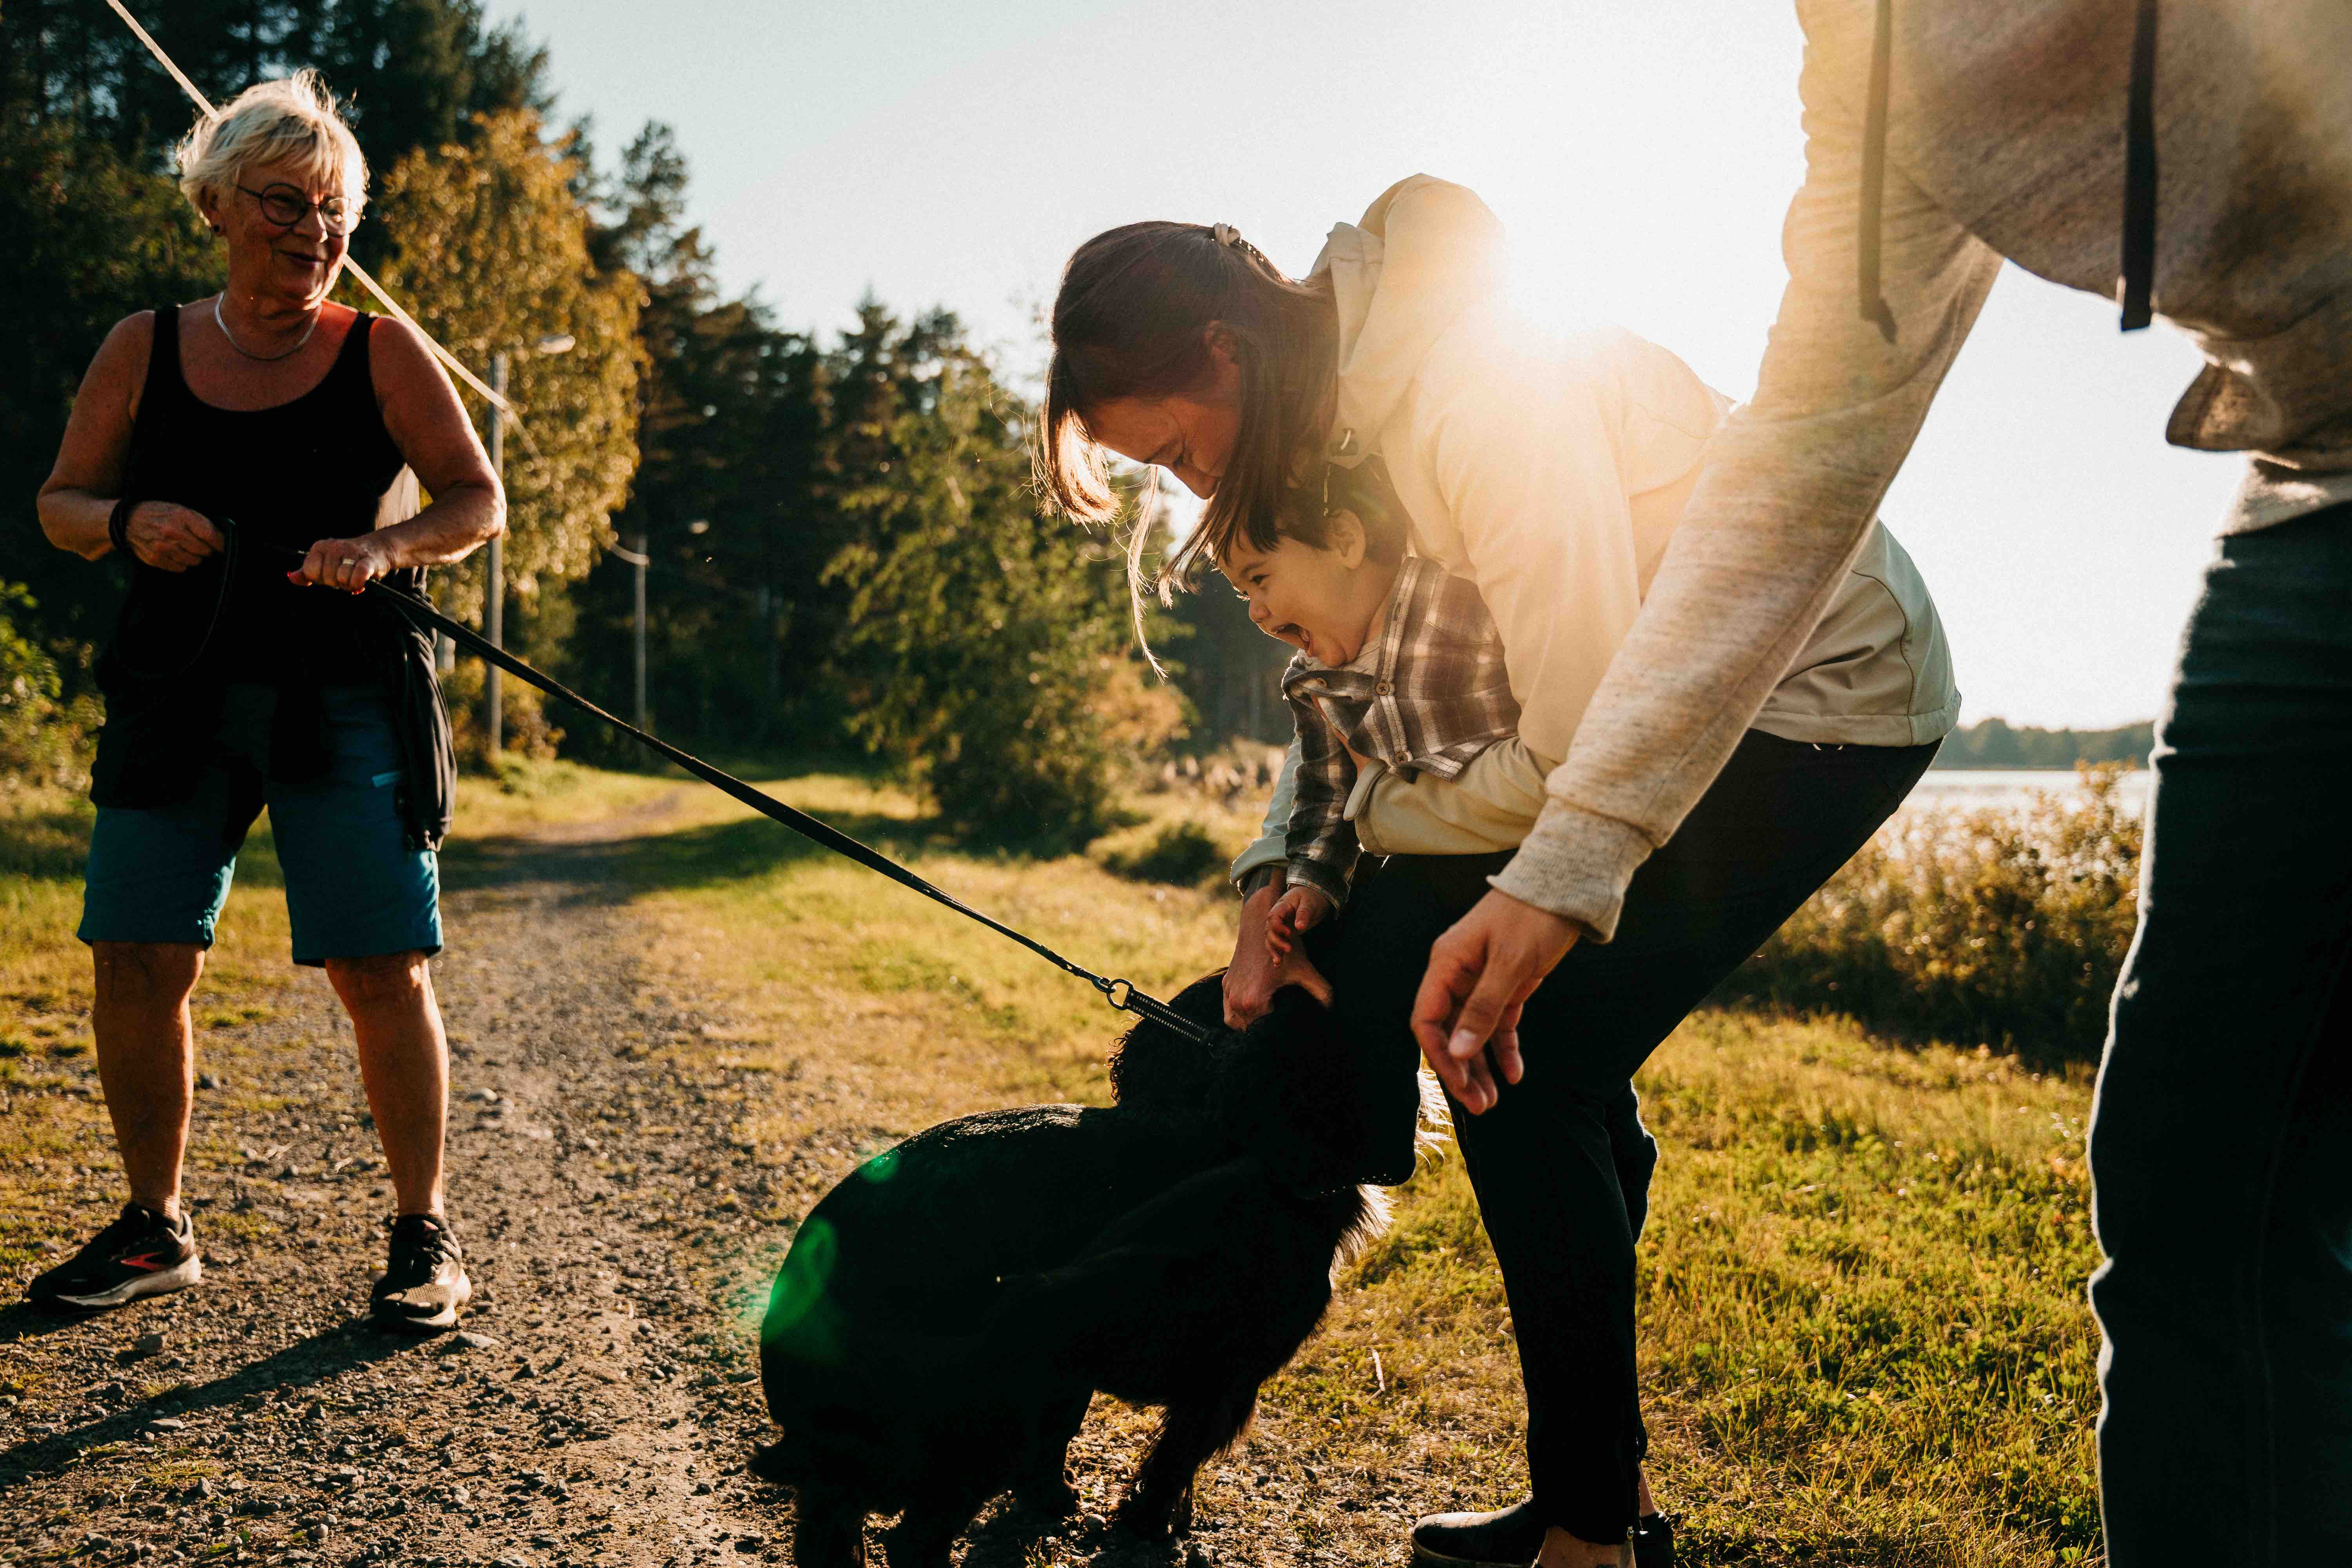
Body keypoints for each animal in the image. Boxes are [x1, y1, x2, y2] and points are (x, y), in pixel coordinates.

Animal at [757, 973, 1411, 1568]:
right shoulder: (1219, 1384)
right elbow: (1170, 1466)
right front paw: (1148, 1528)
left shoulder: (1074, 1372)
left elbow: (1061, 1448)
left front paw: (1057, 1503)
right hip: (985, 1420)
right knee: (914, 1540)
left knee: (830, 1532)